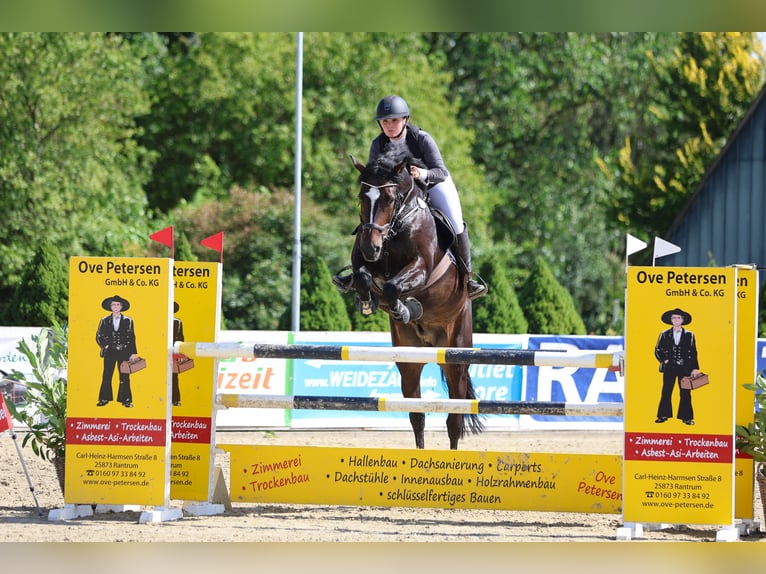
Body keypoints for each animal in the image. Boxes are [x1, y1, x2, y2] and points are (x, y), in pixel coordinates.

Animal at [340, 151, 484, 452]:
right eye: (361, 196)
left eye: (389, 198)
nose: (371, 248)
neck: (396, 226)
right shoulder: (362, 259)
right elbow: (363, 277)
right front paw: (368, 301)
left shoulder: (421, 268)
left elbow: (393, 286)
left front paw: (404, 308)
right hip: (409, 360)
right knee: (417, 415)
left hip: (456, 356)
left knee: (455, 419)